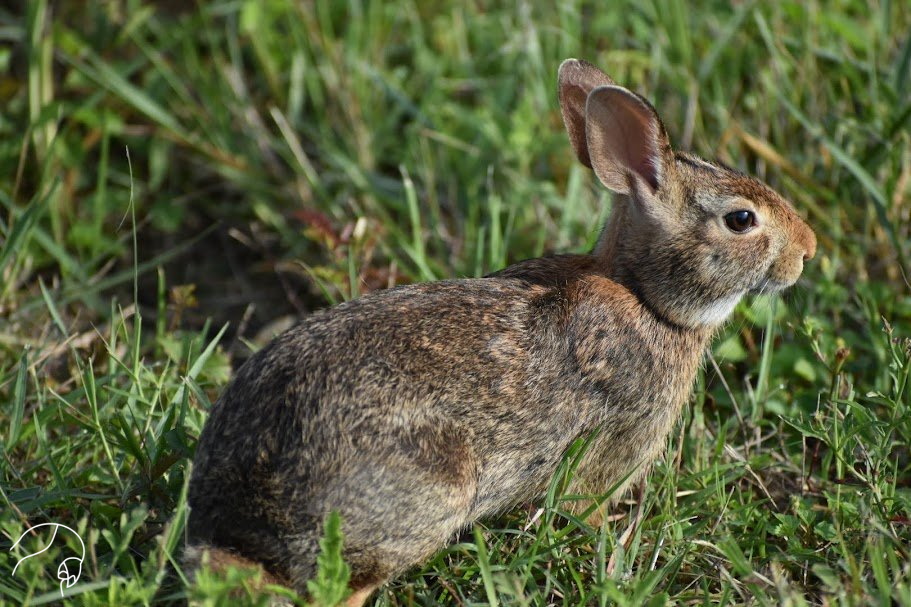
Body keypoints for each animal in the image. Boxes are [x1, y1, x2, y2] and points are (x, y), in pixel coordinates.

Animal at [185, 58, 820, 607]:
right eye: (741, 220)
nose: (808, 251)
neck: (645, 297)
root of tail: (248, 504)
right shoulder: (615, 443)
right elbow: (585, 506)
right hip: (427, 493)